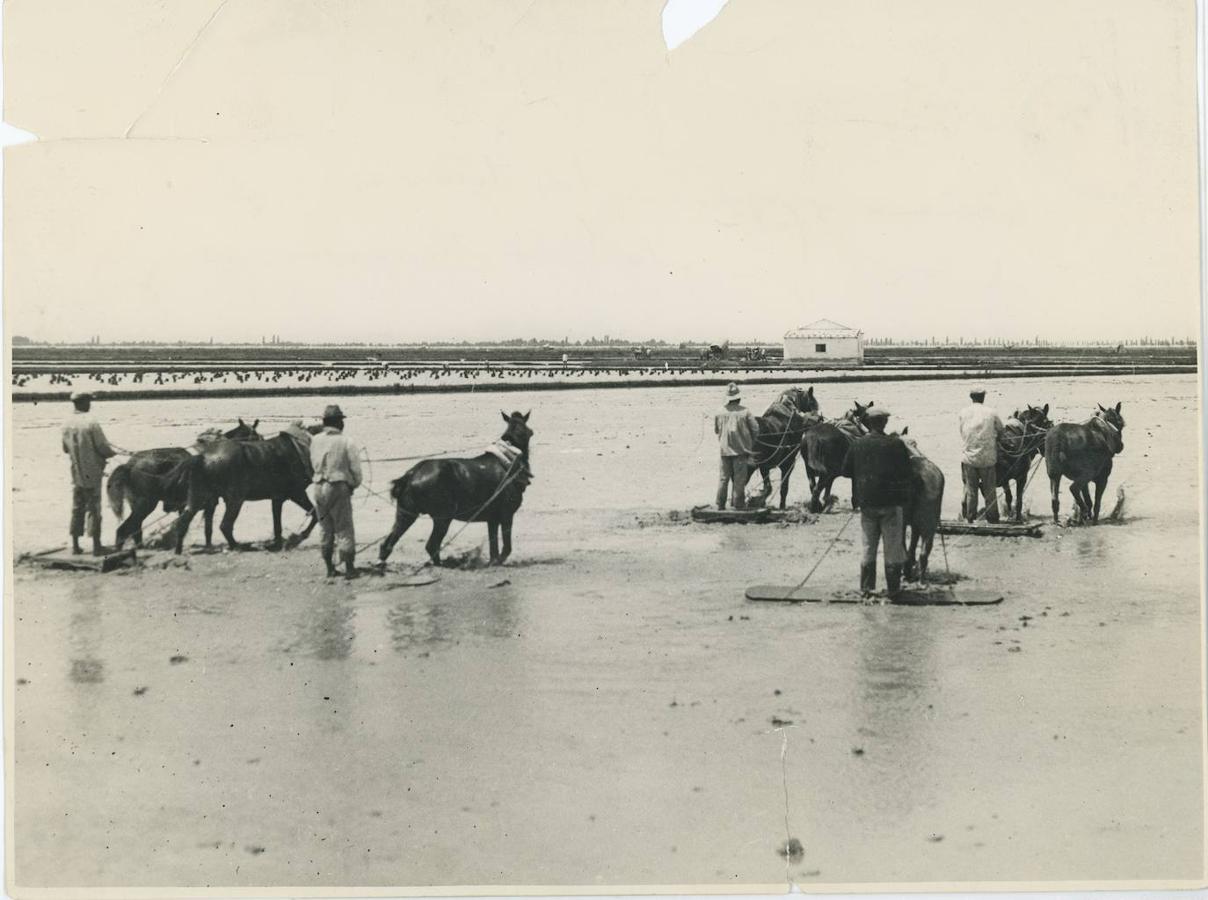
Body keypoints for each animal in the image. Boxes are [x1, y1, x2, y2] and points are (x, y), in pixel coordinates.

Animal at [108, 420, 259, 550]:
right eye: (257, 437)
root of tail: (130, 465)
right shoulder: (210, 504)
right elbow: (208, 529)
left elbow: (203, 529)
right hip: (145, 505)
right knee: (124, 530)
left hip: (138, 506)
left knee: (135, 530)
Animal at [165, 425, 318, 550]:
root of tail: (202, 457)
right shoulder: (297, 493)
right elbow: (315, 513)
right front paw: (301, 535)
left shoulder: (277, 498)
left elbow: (277, 524)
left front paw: (277, 544)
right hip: (235, 500)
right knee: (225, 525)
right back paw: (238, 546)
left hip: (199, 497)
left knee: (184, 521)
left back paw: (178, 551)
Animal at [374, 410, 531, 565]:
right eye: (530, 432)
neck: (508, 461)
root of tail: (412, 473)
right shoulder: (507, 514)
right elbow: (506, 547)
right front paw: (499, 560)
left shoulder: (492, 519)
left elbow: (493, 547)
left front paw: (493, 562)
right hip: (443, 518)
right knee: (432, 545)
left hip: (406, 514)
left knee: (389, 543)